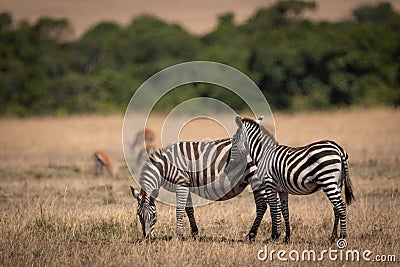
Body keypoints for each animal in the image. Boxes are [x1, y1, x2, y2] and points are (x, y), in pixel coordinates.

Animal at [129, 118, 260, 241]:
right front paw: (194, 233)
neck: (166, 167)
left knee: (261, 205)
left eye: (154, 215)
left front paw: (178, 236)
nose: (147, 238)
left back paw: (251, 236)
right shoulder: (186, 185)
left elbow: (180, 210)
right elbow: (189, 209)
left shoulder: (181, 184)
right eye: (139, 215)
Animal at [234, 116, 356, 244]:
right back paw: (333, 237)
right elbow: (285, 211)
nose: (232, 160)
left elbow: (273, 208)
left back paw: (342, 237)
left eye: (235, 139)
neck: (264, 155)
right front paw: (287, 237)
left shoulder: (270, 184)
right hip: (338, 183)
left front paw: (274, 236)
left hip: (328, 180)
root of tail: (338, 148)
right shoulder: (282, 190)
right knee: (336, 207)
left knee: (341, 206)